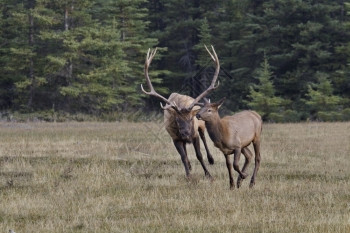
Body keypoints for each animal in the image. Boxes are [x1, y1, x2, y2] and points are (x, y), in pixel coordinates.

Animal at [141, 46, 220, 180]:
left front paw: (208, 174)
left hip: (201, 126)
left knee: (204, 137)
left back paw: (211, 159)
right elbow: (183, 157)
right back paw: (190, 166)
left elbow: (199, 155)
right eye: (177, 120)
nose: (185, 133)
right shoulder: (175, 138)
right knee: (186, 152)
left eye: (190, 119)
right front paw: (188, 175)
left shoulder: (195, 135)